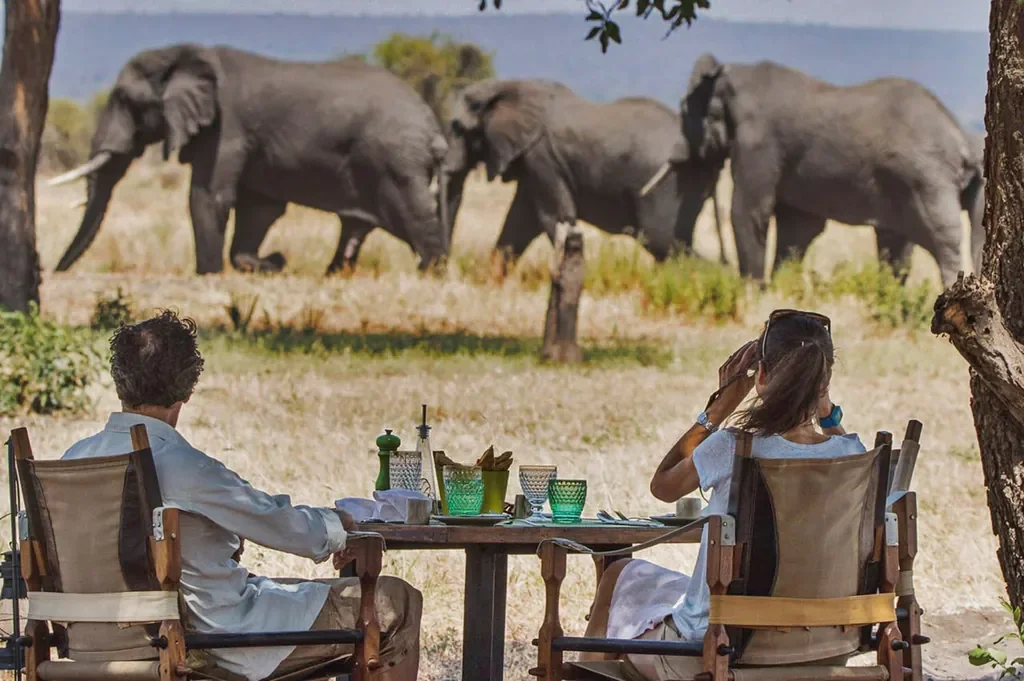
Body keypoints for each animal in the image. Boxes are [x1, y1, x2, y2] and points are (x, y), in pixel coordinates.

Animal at [50, 43, 450, 275]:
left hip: (395, 162)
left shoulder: (226, 127)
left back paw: (432, 271)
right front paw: (269, 263)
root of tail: (433, 127)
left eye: (124, 100)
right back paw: (334, 273)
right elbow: (259, 207)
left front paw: (209, 276)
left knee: (414, 216)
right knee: (356, 227)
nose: (55, 272)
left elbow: (209, 196)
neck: (184, 54)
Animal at [440, 78, 725, 271]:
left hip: (668, 184)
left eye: (458, 128)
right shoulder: (537, 166)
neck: (505, 86)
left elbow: (554, 218)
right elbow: (519, 223)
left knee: (664, 241)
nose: (441, 271)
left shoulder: (542, 158)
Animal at [647, 53, 985, 286]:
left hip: (927, 181)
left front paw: (753, 290)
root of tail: (961, 138)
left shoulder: (758, 142)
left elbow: (749, 211)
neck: (733, 73)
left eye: (682, 108)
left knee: (942, 242)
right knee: (907, 245)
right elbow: (798, 227)